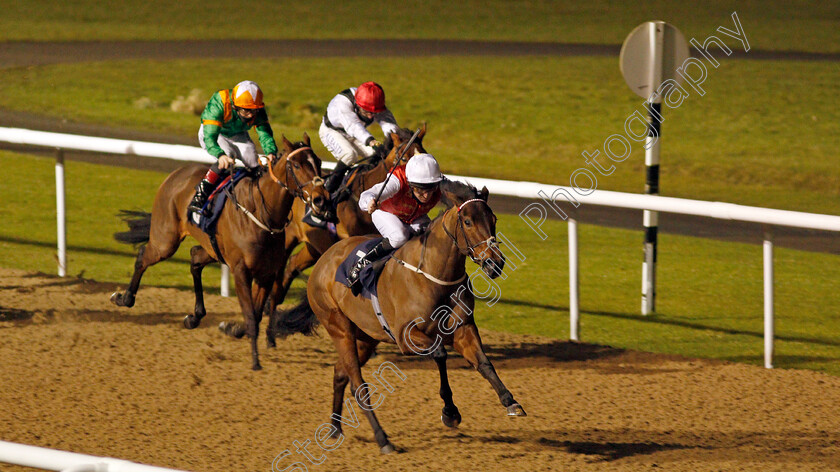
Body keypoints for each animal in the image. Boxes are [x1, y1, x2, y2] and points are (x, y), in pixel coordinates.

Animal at [113, 135, 330, 370]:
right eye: (297, 165)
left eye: (318, 162)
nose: (321, 199)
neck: (262, 214)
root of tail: (175, 173)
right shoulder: (241, 271)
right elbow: (251, 316)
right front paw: (255, 361)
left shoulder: (266, 273)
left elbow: (255, 313)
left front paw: (233, 329)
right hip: (165, 240)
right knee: (144, 255)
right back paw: (124, 298)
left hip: (211, 248)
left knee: (194, 258)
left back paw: (194, 317)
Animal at [276, 179, 524, 452]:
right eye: (468, 221)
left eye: (494, 219)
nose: (495, 263)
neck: (433, 275)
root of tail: (323, 261)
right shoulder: (406, 336)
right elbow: (440, 353)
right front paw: (450, 412)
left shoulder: (463, 329)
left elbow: (484, 362)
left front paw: (510, 401)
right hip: (339, 329)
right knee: (358, 385)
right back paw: (383, 439)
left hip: (365, 338)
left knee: (340, 373)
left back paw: (335, 428)